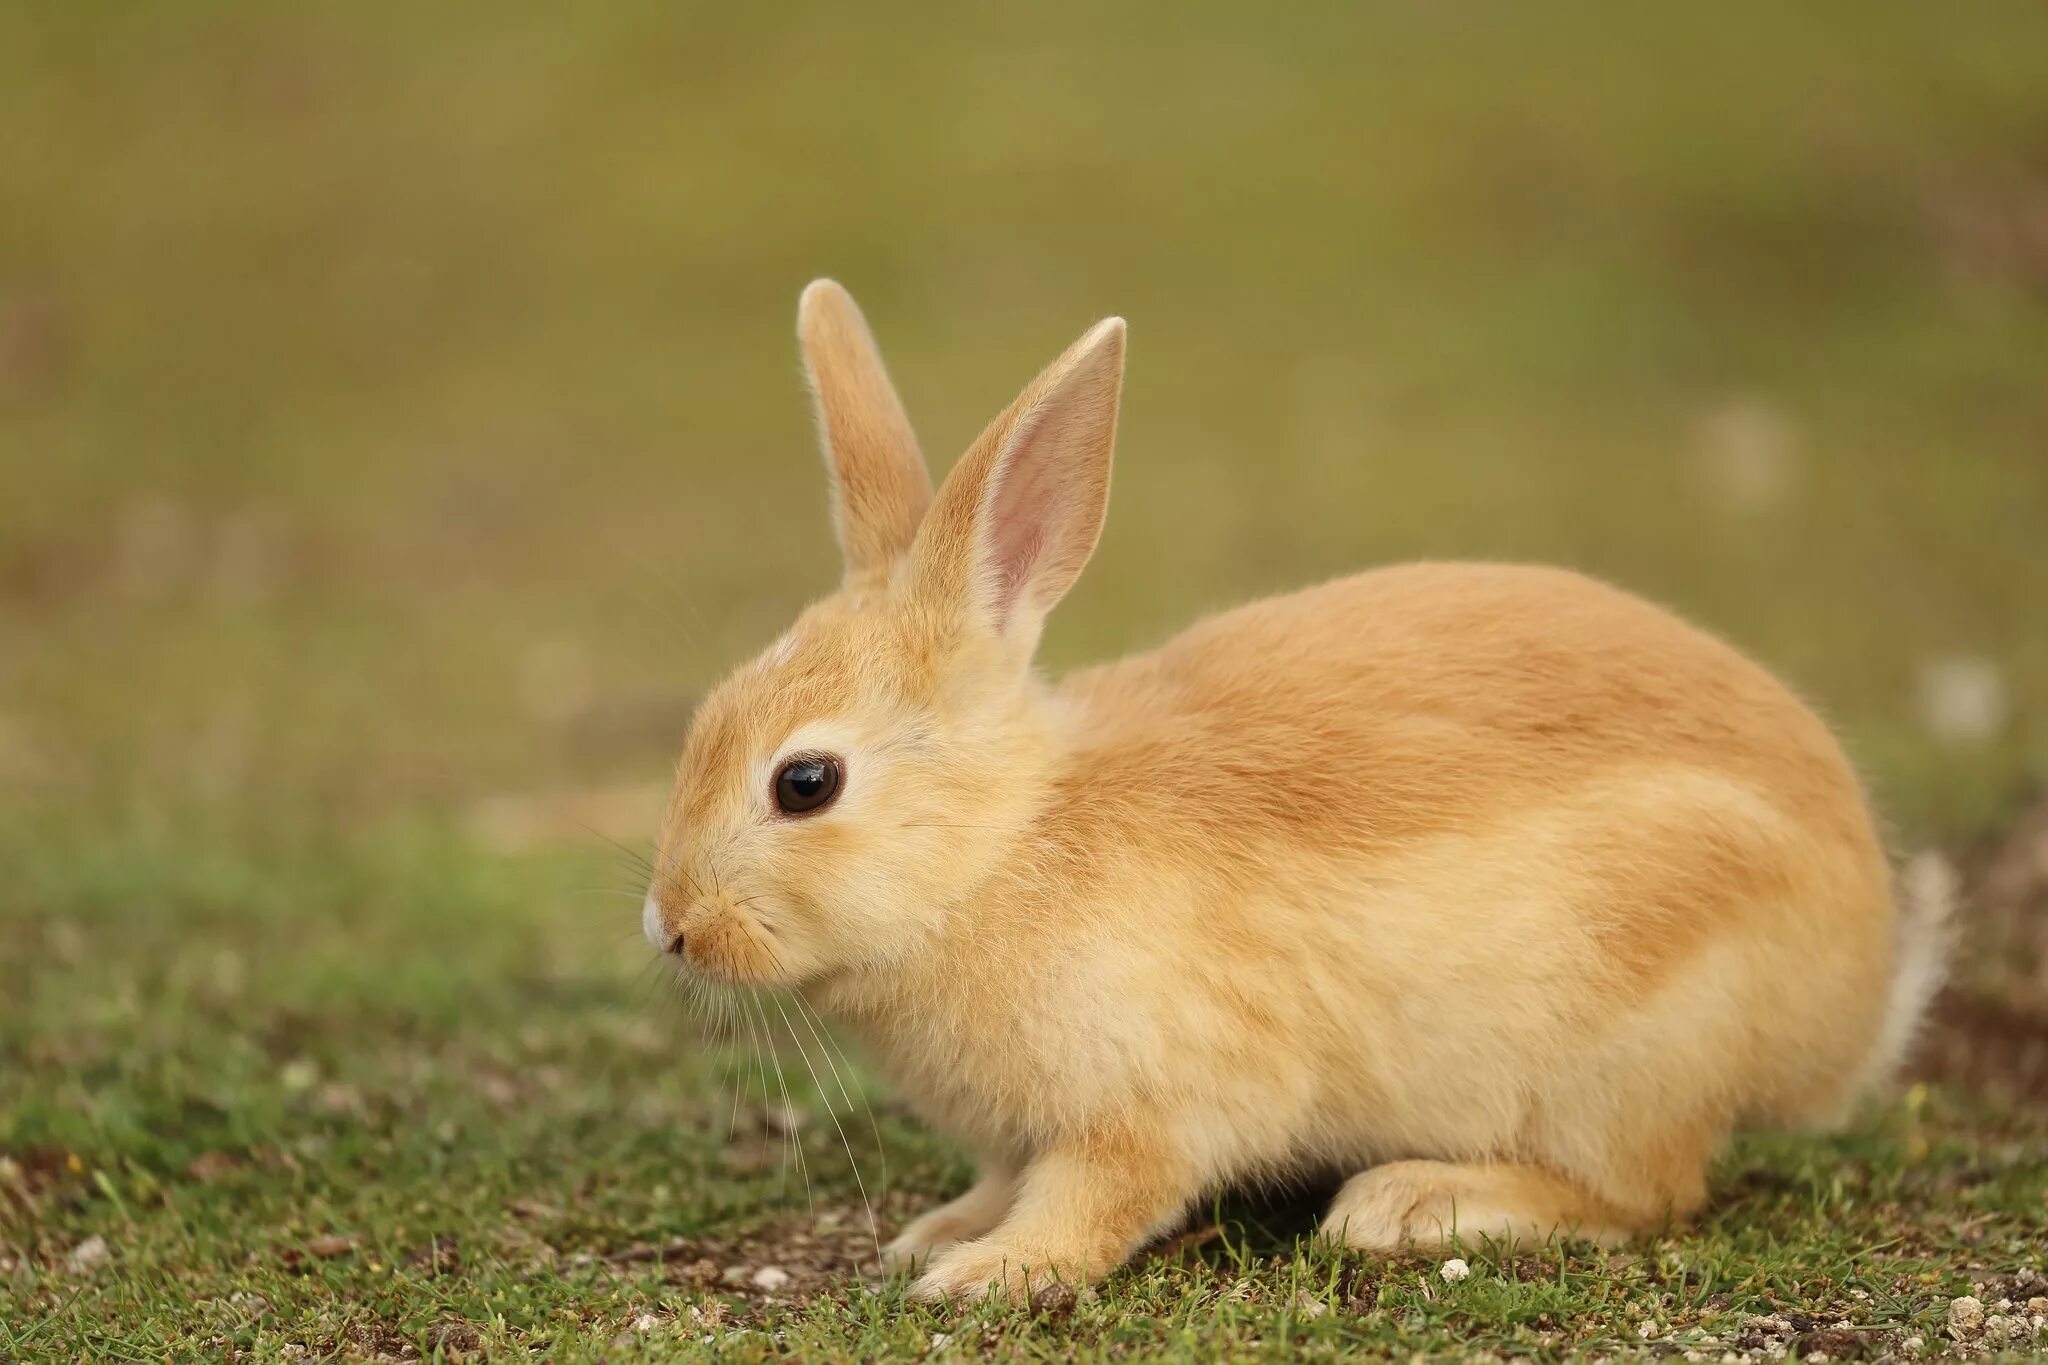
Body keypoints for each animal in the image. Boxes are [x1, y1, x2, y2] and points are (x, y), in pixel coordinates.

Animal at [643, 280, 1949, 1301]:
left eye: (804, 783)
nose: (671, 929)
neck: (999, 845)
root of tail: (1850, 1004)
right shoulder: (1031, 1127)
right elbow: (1003, 1177)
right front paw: (939, 1233)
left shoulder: (1155, 1105)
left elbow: (1094, 1198)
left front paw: (990, 1273)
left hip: (1627, 1047)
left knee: (1648, 1193)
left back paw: (1411, 1204)